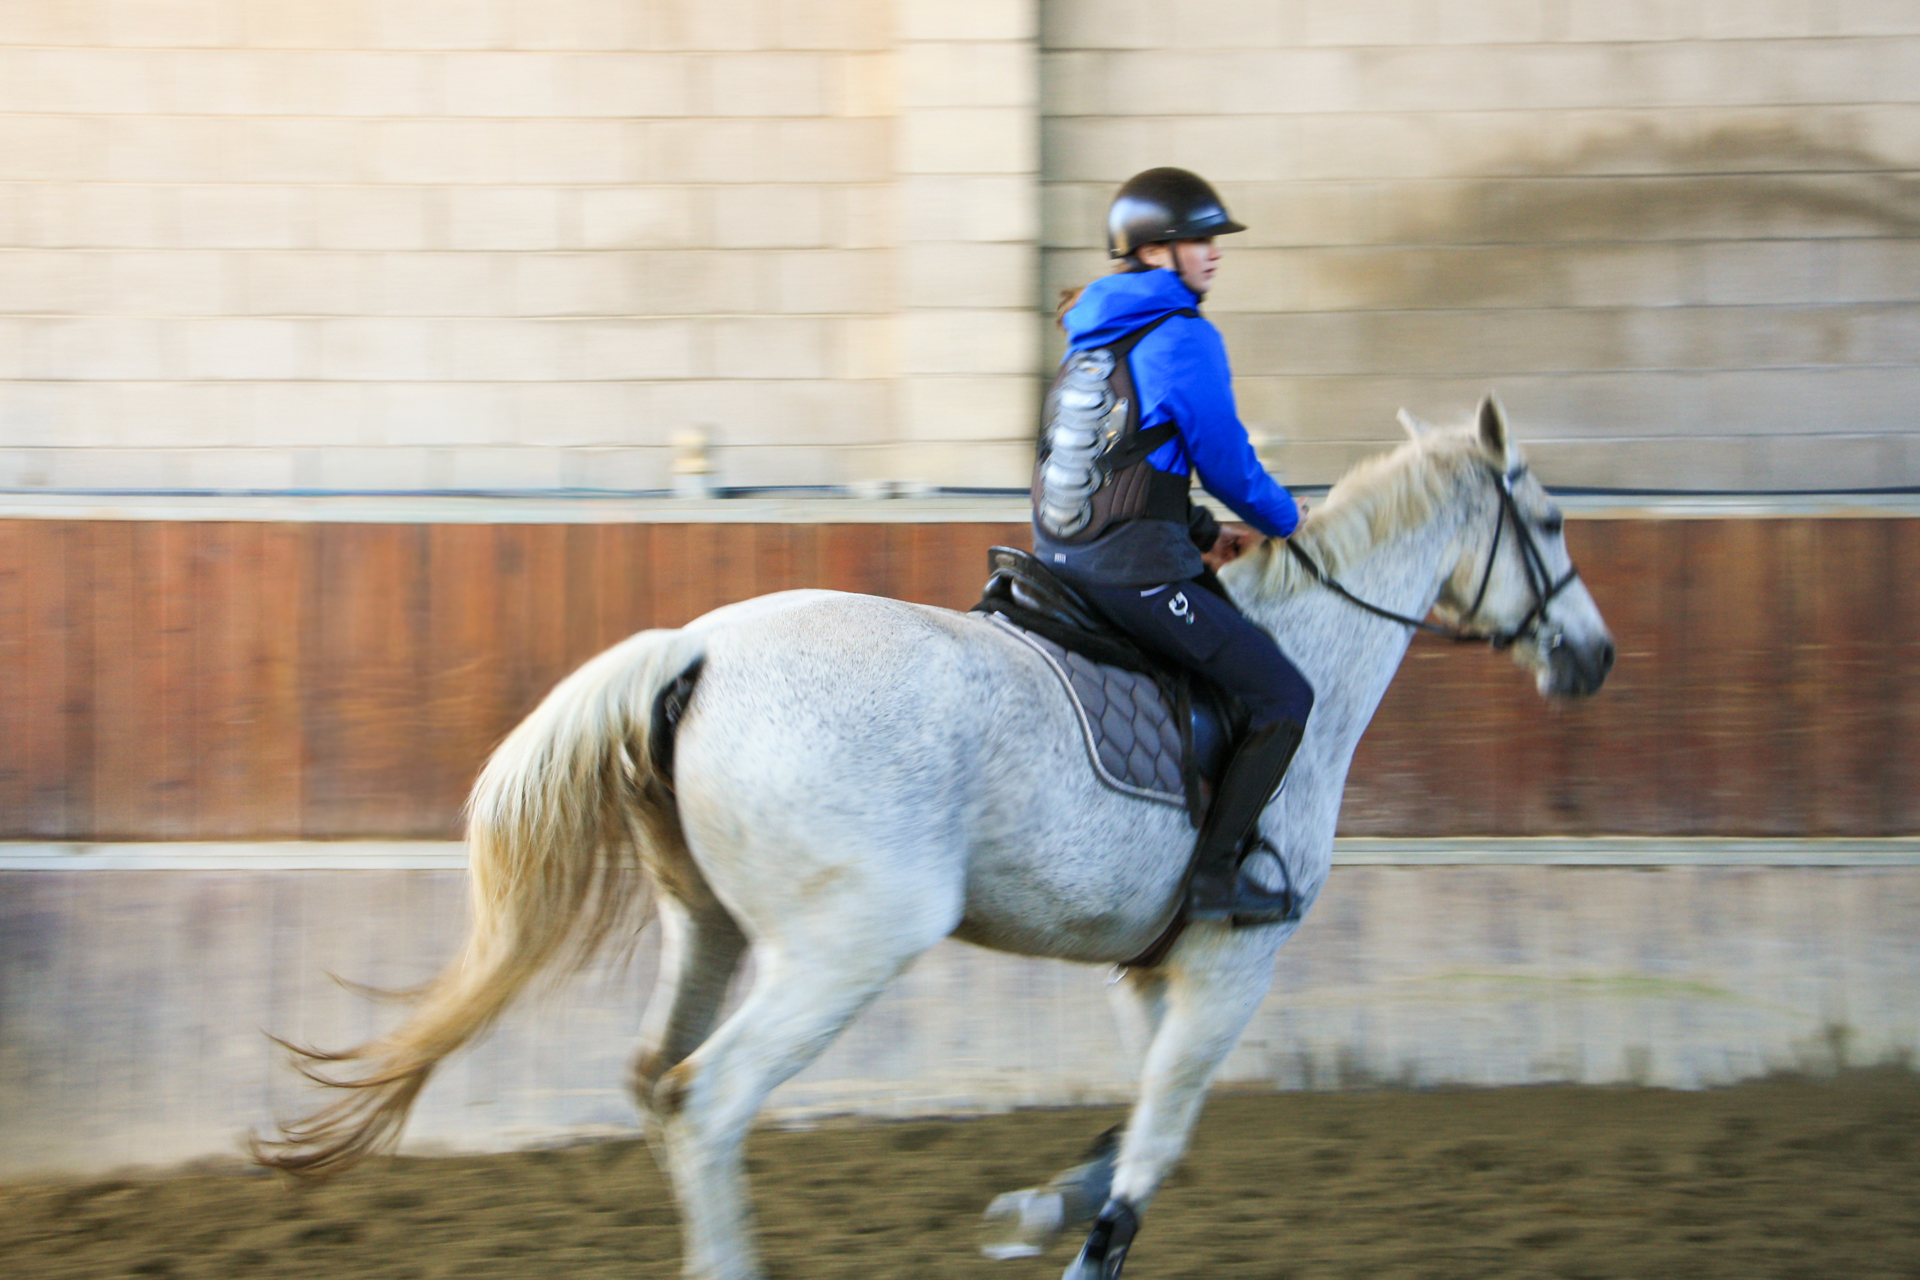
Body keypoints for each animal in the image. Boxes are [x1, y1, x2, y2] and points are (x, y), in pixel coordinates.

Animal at [254, 395, 1613, 1280]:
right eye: (1547, 521)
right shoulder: (1234, 960)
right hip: (846, 947)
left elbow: (1129, 1121)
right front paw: (1075, 1229)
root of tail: (695, 648)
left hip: (708, 926)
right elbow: (1157, 1144)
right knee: (706, 1099)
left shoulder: (1152, 966)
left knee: (655, 1081)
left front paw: (1034, 1205)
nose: (1593, 659)